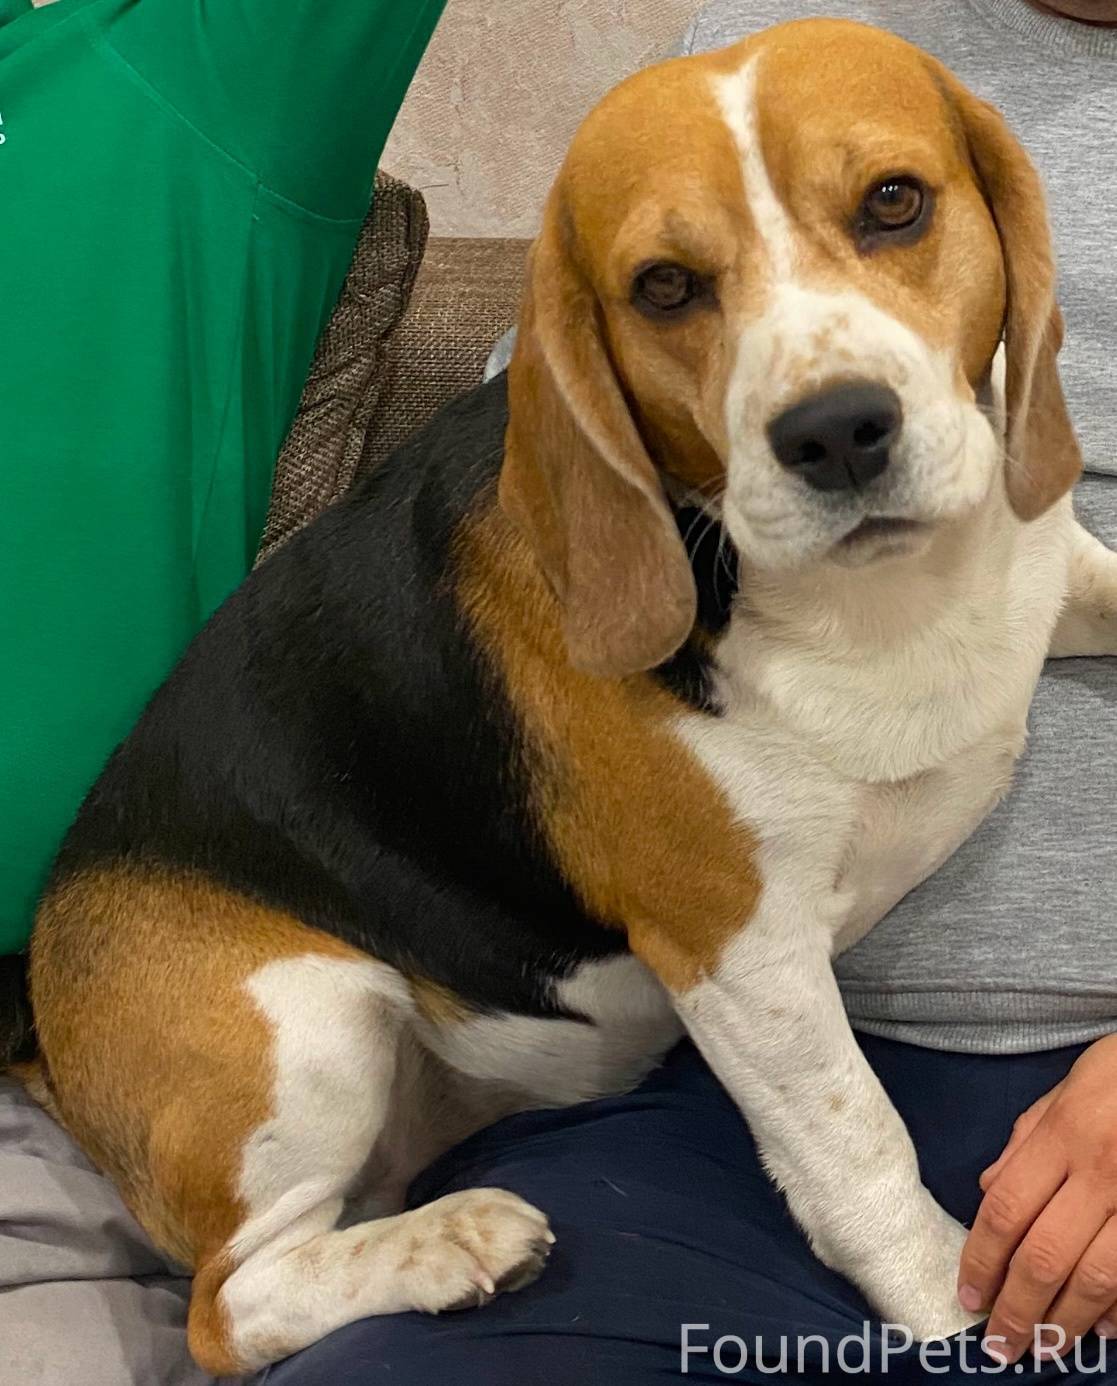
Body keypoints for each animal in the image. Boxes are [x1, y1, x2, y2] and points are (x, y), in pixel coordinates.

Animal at [20, 17, 1117, 1374]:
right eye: (665, 287)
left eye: (894, 203)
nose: (835, 433)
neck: (882, 602)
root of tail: (35, 1007)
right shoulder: (738, 951)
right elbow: (854, 1134)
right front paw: (937, 1298)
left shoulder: (1052, 582)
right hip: (305, 1026)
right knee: (231, 1305)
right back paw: (452, 1245)